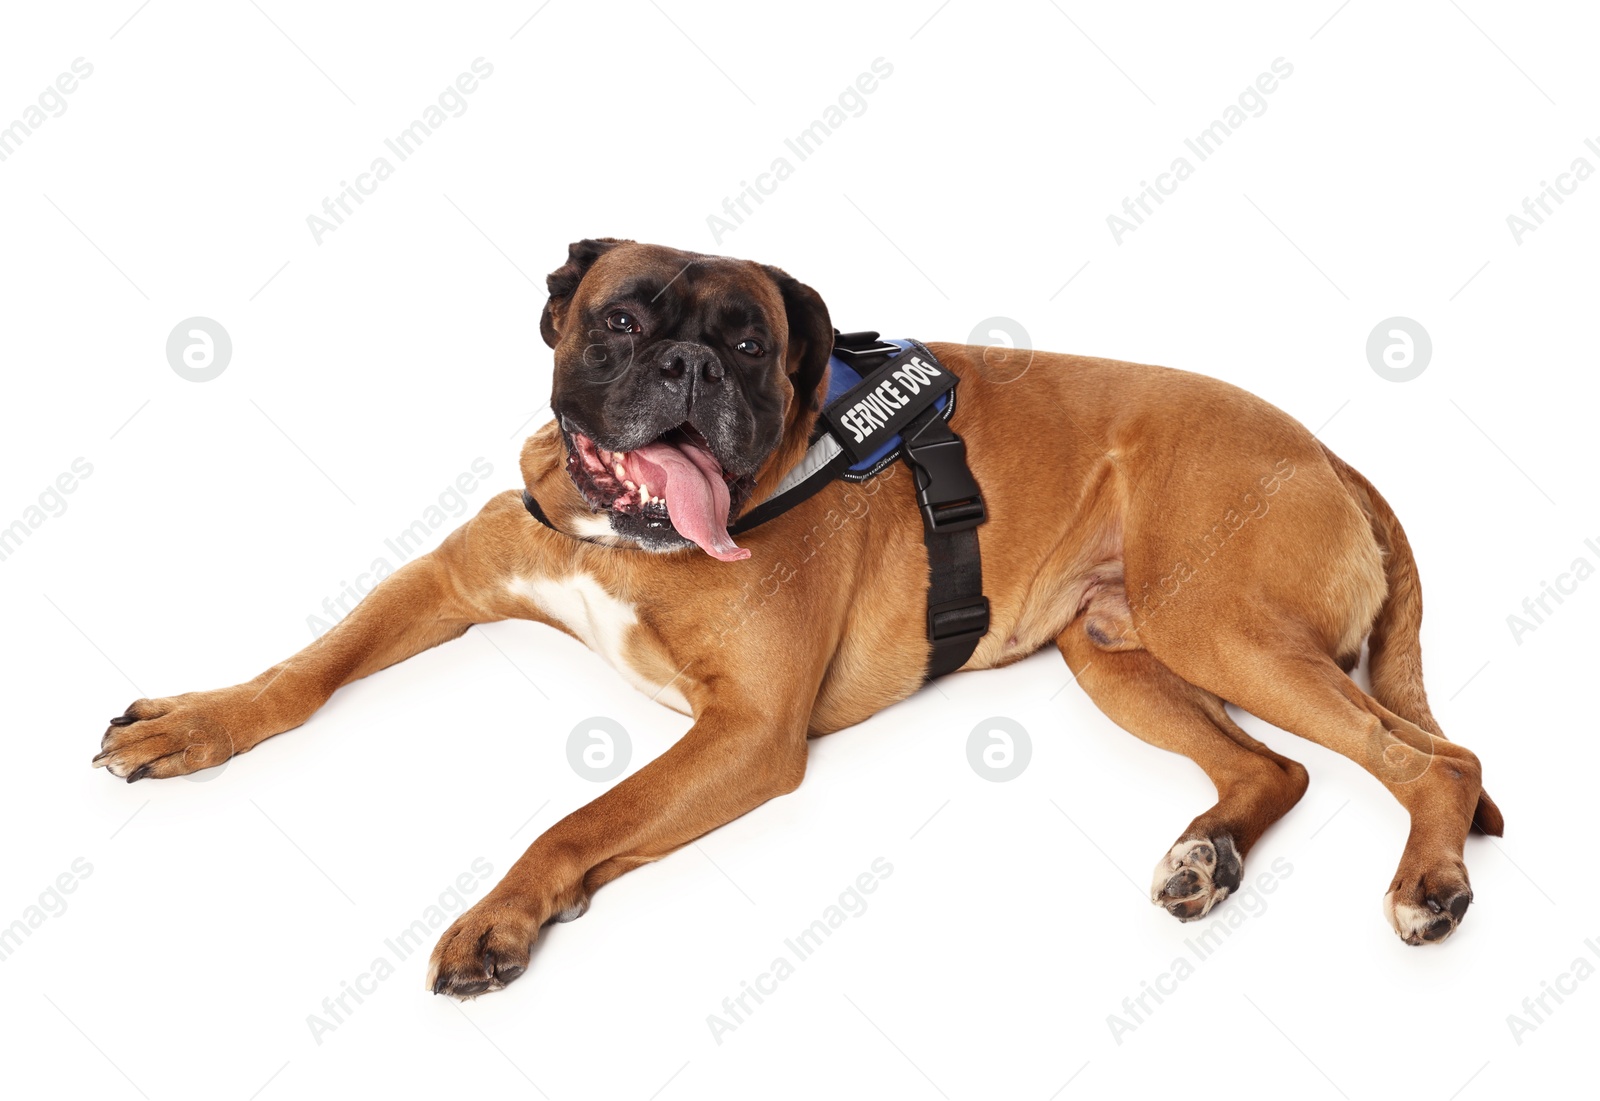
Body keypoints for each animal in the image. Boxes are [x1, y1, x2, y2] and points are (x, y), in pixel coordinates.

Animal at [96, 238, 1497, 998]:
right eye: (621, 319)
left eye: (753, 342)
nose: (689, 367)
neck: (630, 538)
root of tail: (1323, 450)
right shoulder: (446, 583)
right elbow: (308, 669)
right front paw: (195, 722)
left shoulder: (747, 735)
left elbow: (575, 819)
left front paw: (503, 916)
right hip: (1121, 658)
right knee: (1276, 771)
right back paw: (1208, 855)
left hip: (1222, 628)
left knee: (1437, 759)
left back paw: (1428, 883)